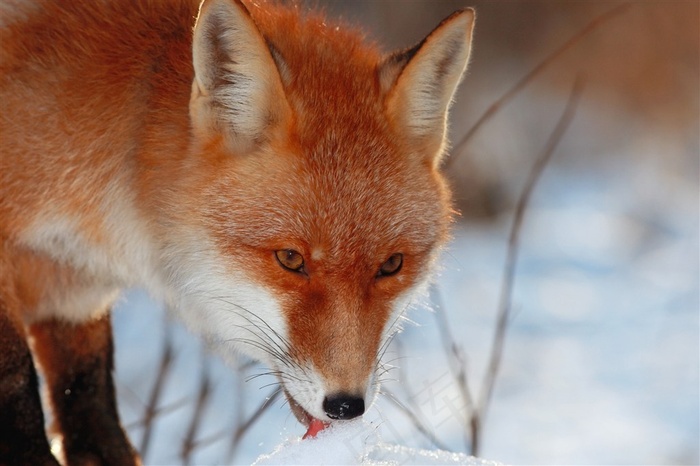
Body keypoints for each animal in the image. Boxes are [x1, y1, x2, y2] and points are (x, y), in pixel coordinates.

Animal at [0, 0, 476, 462]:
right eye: (290, 259)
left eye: (391, 265)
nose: (345, 406)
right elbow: (16, 385)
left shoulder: (73, 295)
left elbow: (89, 412)